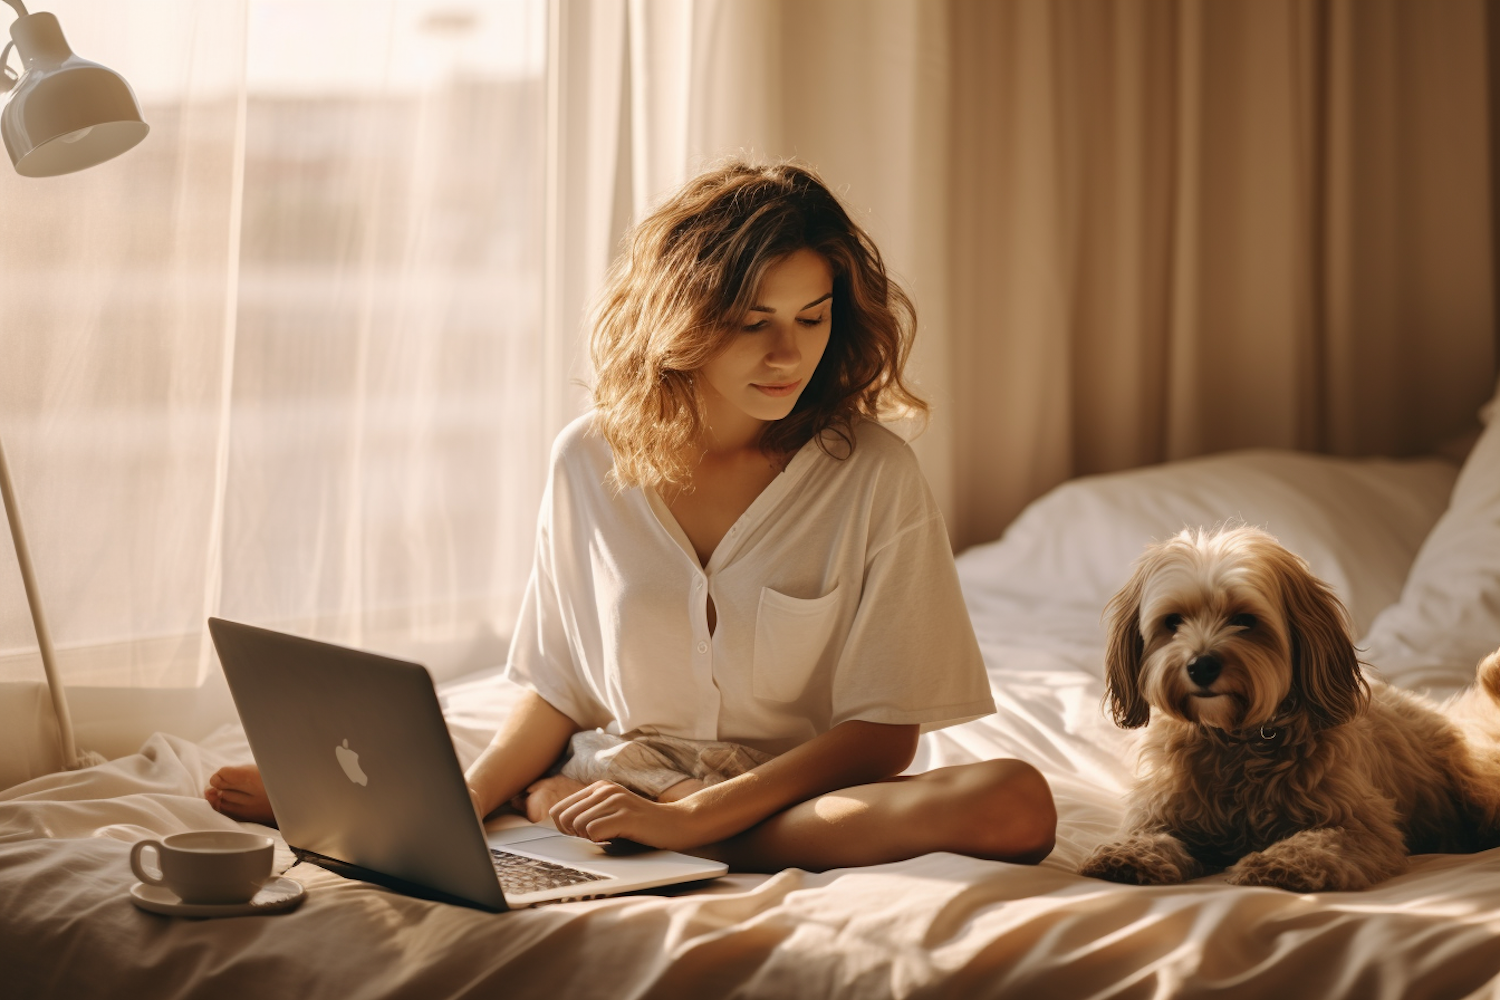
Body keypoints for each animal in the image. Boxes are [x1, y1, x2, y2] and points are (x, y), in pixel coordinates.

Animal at [1080, 527, 1500, 893]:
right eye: (1173, 621)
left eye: (1244, 620)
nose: (1201, 666)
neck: (1234, 739)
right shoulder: (1161, 810)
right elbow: (1150, 834)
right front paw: (1128, 854)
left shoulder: (1362, 824)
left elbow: (1320, 842)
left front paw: (1278, 863)